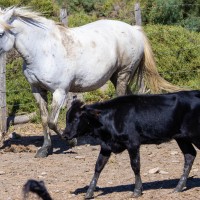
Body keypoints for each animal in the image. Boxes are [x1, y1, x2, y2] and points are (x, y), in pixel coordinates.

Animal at [0, 6, 179, 158]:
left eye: (1, 33)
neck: (43, 50)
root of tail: (134, 29)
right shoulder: (37, 90)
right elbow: (45, 119)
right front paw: (45, 149)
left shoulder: (60, 92)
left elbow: (52, 121)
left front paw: (71, 141)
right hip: (116, 76)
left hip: (123, 74)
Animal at [62, 90, 200, 198]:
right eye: (67, 118)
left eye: (76, 119)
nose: (65, 135)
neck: (111, 118)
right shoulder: (106, 146)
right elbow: (98, 166)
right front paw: (89, 192)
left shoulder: (132, 143)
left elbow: (135, 165)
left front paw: (137, 190)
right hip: (182, 138)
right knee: (190, 155)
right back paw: (178, 187)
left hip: (194, 135)